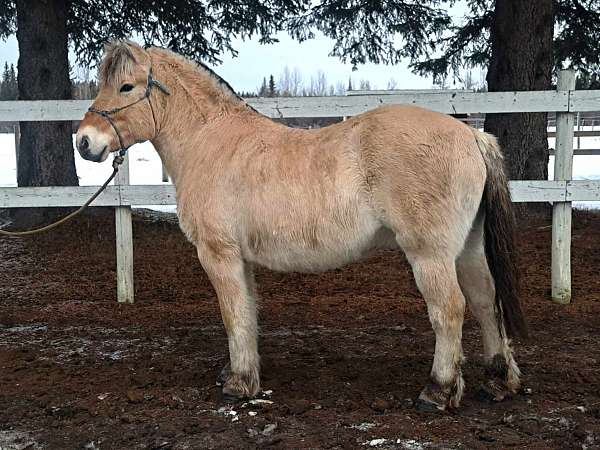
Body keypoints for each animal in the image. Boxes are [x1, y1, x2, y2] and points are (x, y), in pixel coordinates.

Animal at [76, 40, 524, 410]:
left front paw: (239, 384)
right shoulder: (241, 259)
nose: (84, 141)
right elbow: (248, 311)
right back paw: (498, 381)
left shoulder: (218, 254)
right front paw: (241, 372)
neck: (210, 140)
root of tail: (472, 136)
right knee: (485, 300)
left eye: (127, 87)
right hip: (466, 248)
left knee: (449, 310)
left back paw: (438, 391)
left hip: (430, 255)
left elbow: (232, 314)